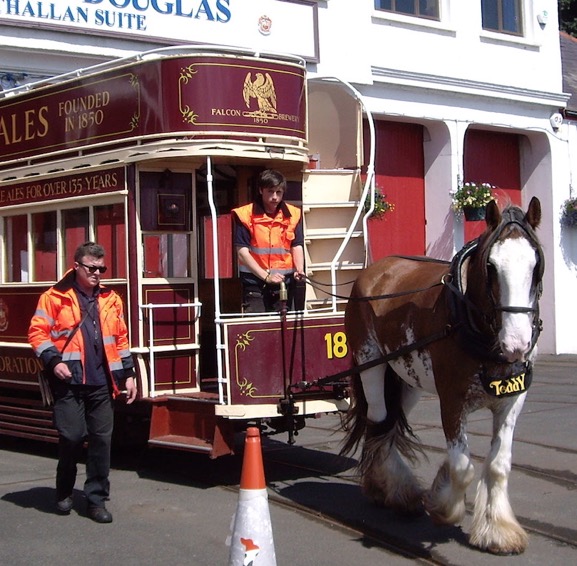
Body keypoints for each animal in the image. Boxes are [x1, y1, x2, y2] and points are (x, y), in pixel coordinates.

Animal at [342, 197, 544, 556]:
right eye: (491, 266)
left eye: (535, 266)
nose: (517, 343)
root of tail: (375, 271)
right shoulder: (452, 401)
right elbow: (462, 467)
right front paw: (442, 504)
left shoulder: (512, 401)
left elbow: (498, 464)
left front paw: (497, 531)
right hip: (371, 365)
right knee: (378, 420)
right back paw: (394, 491)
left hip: (407, 380)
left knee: (389, 422)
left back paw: (387, 490)